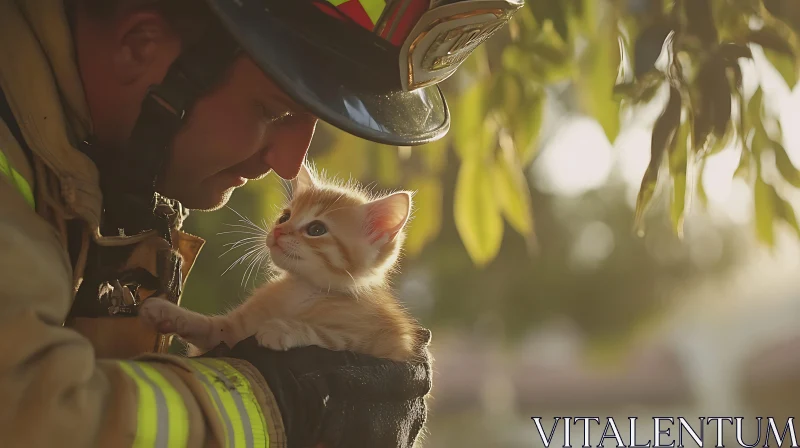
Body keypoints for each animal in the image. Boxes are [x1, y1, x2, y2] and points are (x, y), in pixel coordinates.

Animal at [139, 163, 424, 362]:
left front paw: (282, 329)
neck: (300, 291)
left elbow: (327, 335)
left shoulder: (382, 343)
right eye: (285, 217)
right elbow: (209, 326)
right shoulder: (228, 332)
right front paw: (167, 312)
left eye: (316, 229)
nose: (277, 232)